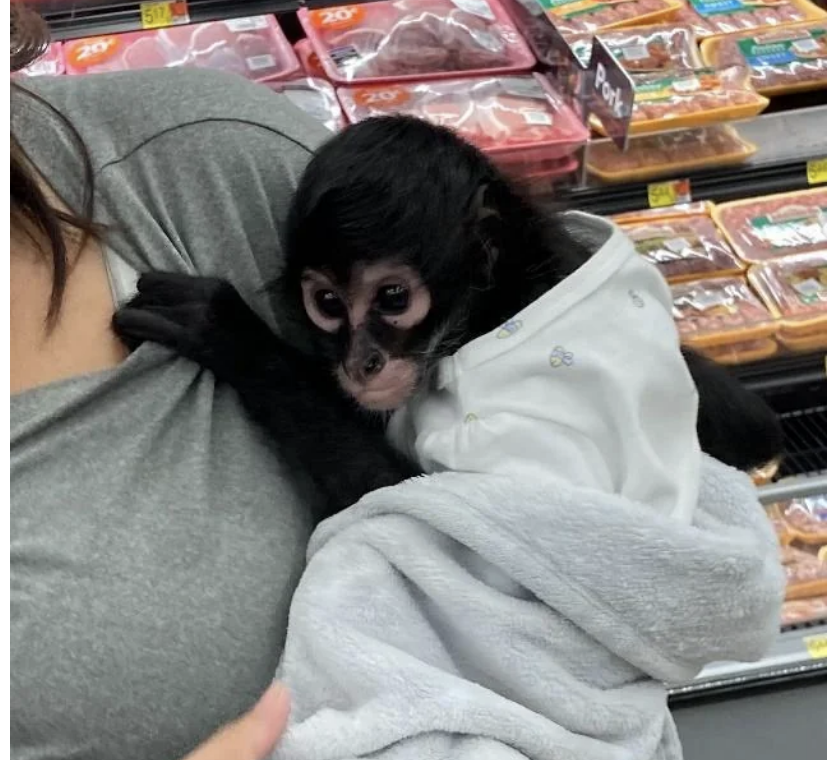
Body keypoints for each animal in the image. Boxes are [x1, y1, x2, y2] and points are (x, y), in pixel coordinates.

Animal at [115, 117, 784, 524]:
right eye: (328, 304)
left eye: (391, 297)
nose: (361, 362)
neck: (498, 305)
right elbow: (754, 425)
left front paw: (228, 331)